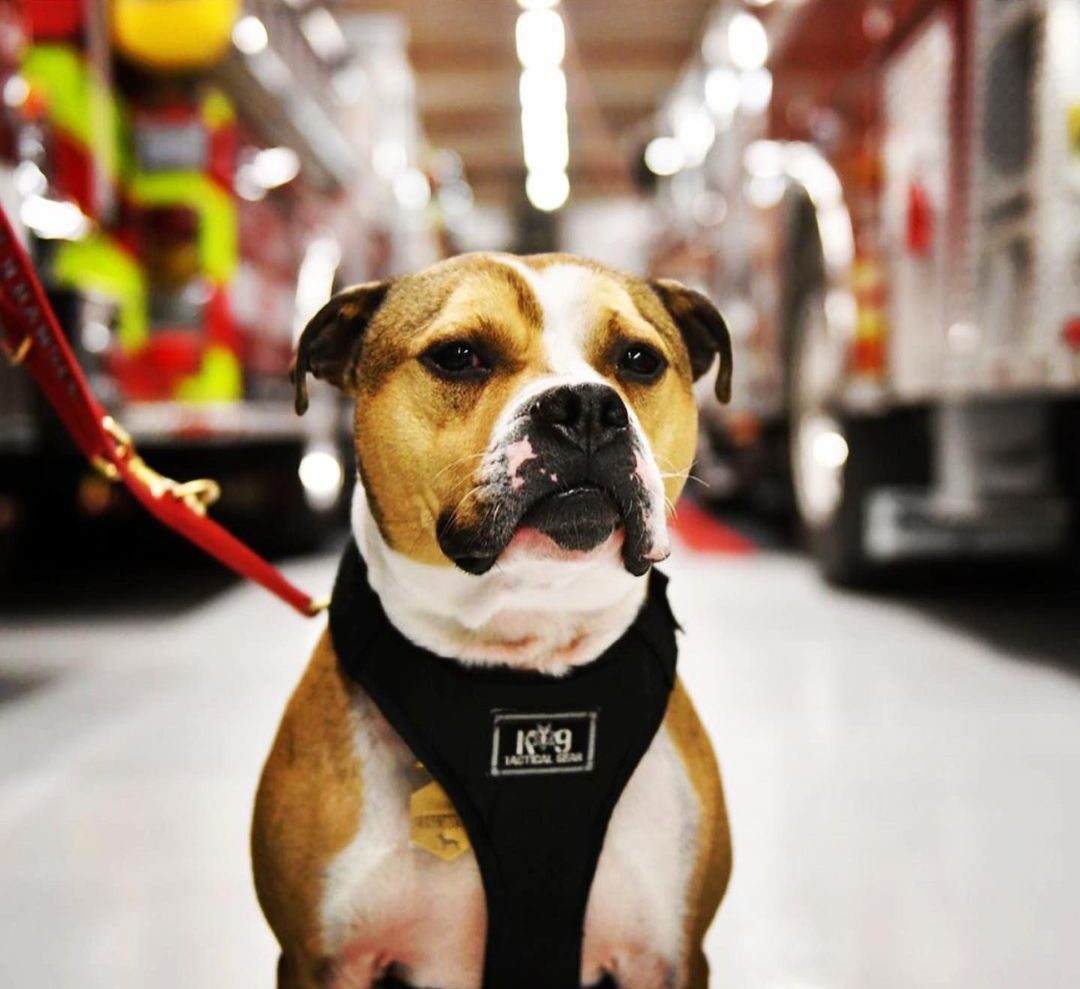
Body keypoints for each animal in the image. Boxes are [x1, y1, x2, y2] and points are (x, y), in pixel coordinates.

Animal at [250, 252, 734, 988]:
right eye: (458, 356)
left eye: (639, 359)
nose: (585, 406)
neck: (524, 645)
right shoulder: (318, 960)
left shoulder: (670, 956)